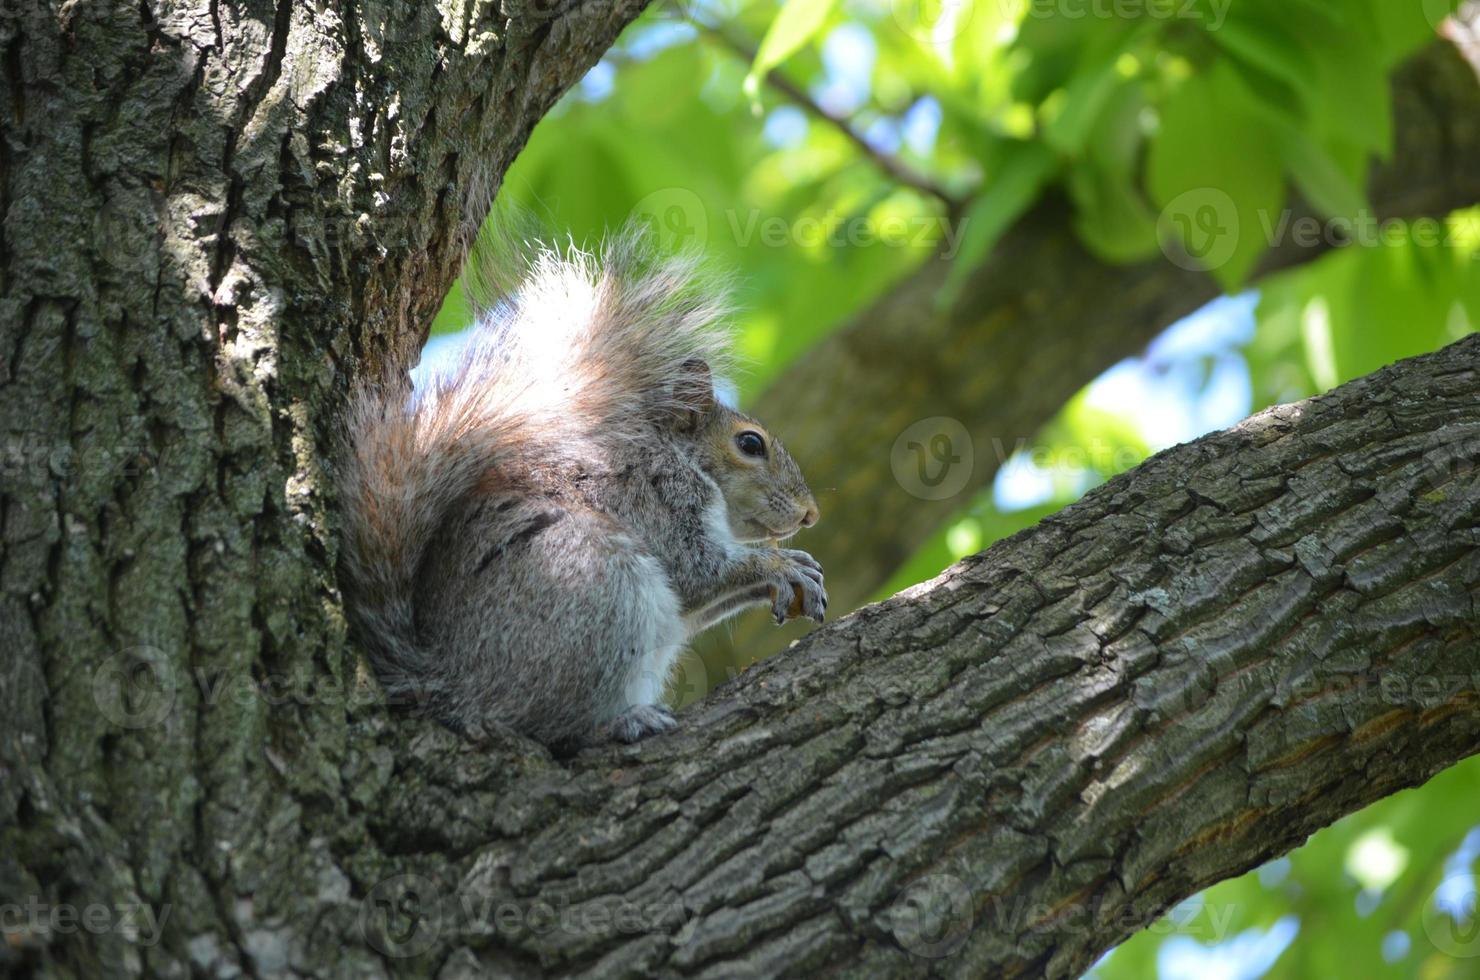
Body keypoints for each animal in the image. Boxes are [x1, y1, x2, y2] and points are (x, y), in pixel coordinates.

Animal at [337, 230, 828, 749]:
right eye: (750, 444)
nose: (810, 514)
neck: (681, 459)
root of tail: (450, 683)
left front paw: (794, 570)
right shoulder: (656, 500)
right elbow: (697, 571)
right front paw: (778, 565)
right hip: (597, 586)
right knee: (550, 726)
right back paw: (623, 721)